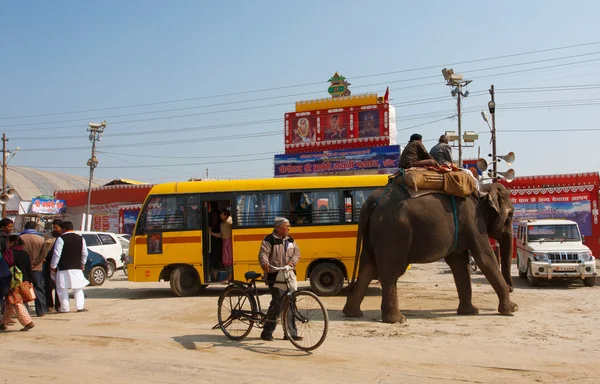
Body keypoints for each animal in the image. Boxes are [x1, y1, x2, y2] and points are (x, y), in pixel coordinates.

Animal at [344, 182, 516, 322]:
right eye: (511, 214)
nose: (511, 288)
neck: (482, 190)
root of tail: (370, 202)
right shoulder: (473, 222)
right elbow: (485, 257)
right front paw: (512, 309)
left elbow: (458, 261)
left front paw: (471, 312)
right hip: (392, 231)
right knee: (390, 272)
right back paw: (397, 320)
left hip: (374, 233)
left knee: (368, 268)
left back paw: (352, 313)